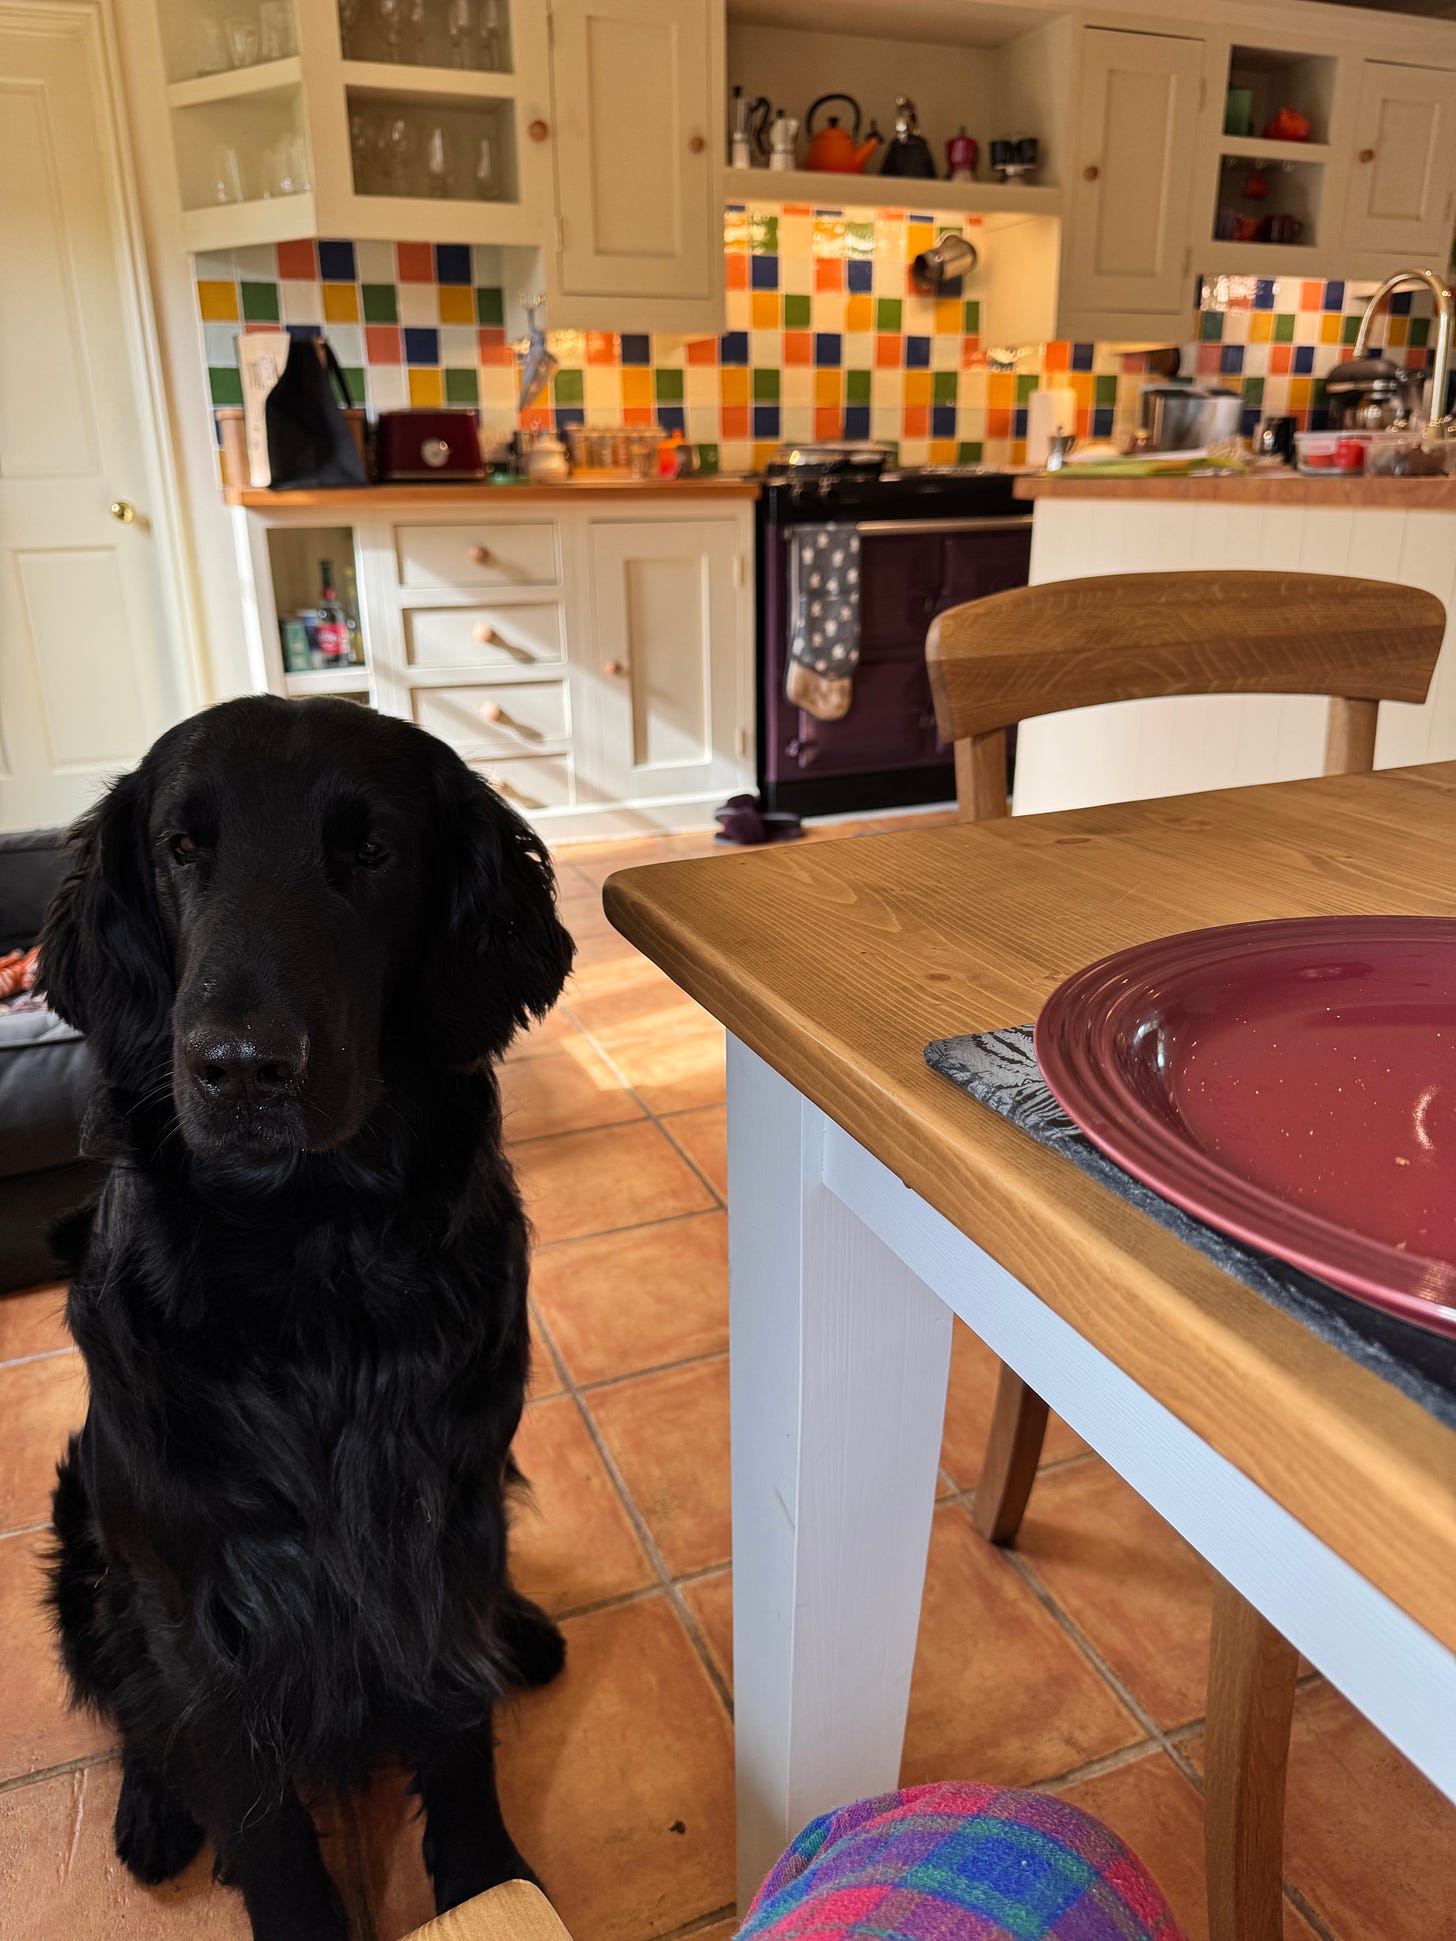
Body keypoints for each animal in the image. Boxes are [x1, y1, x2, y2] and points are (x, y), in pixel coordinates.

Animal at [38, 695, 575, 1940]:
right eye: (183, 848)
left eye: (371, 851)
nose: (243, 1070)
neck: (312, 1263)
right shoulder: (197, 1593)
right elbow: (258, 1811)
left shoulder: (439, 1523)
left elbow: (456, 1729)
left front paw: (488, 1887)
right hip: (87, 1530)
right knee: (130, 1703)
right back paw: (151, 1812)